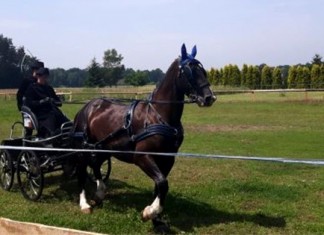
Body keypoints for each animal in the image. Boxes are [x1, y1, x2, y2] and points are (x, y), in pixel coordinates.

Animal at [72, 43, 216, 228]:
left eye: (202, 70)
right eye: (189, 71)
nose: (209, 97)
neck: (158, 116)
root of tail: (87, 107)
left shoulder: (168, 159)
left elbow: (159, 186)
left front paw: (157, 219)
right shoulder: (143, 157)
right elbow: (162, 183)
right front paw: (150, 212)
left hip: (103, 148)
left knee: (96, 165)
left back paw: (99, 194)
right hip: (83, 148)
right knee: (82, 171)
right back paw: (84, 204)